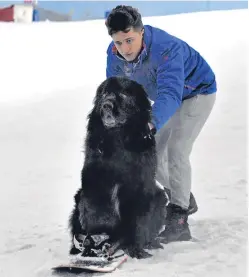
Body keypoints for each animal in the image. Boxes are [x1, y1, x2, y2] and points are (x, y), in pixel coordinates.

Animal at [69, 76, 168, 258]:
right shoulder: (95, 184)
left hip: (159, 197)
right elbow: (98, 212)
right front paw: (97, 240)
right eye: (104, 93)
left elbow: (137, 222)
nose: (106, 105)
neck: (117, 137)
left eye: (123, 93)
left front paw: (135, 248)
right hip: (79, 197)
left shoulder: (138, 188)